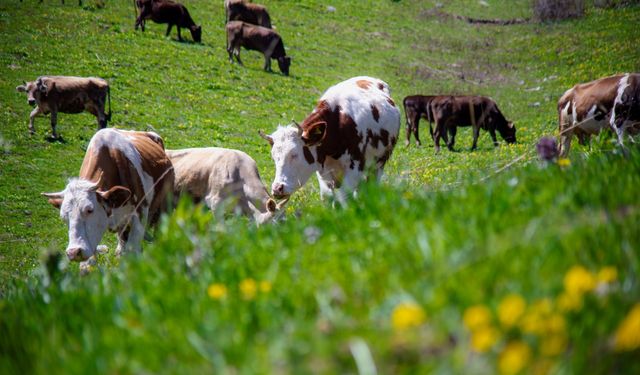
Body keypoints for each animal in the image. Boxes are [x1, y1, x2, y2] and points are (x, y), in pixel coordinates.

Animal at [41, 129, 174, 264]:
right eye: (63, 217)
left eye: (90, 210)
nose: (74, 252)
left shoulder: (140, 213)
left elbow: (132, 250)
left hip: (165, 203)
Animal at [260, 76, 400, 206]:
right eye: (273, 157)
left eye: (294, 154)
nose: (277, 189)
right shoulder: (323, 169)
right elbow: (328, 197)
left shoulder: (355, 168)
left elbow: (345, 199)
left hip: (379, 164)